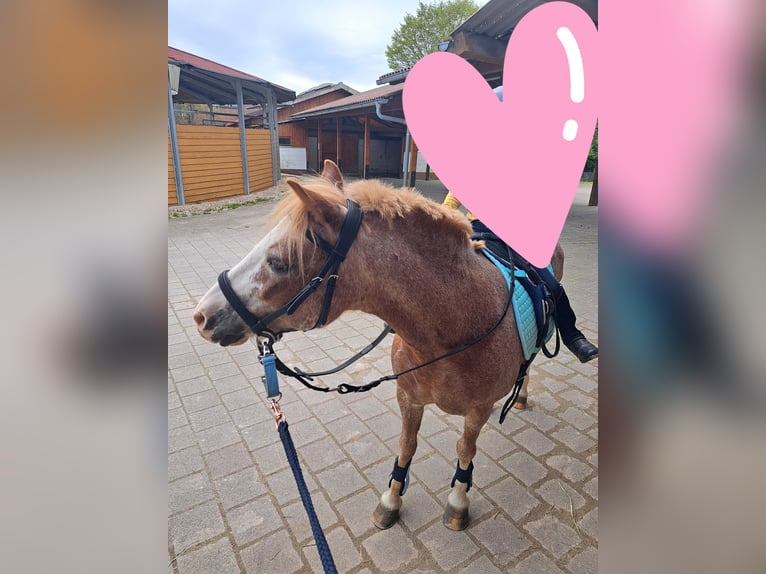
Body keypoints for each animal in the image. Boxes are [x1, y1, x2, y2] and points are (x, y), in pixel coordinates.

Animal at [194, 160, 564, 532]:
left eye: (279, 262)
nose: (202, 316)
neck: (459, 323)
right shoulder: (408, 398)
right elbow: (406, 446)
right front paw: (391, 500)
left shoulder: (479, 410)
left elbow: (464, 451)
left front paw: (458, 502)